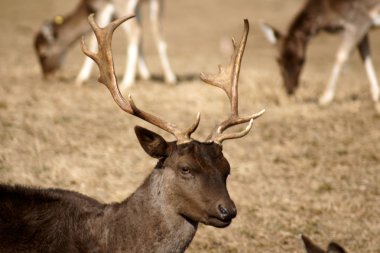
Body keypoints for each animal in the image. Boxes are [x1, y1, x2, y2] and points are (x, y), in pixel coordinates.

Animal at [33, 0, 176, 89]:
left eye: (43, 54)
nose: (46, 76)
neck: (87, 5)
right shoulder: (136, 8)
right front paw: (146, 74)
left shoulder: (104, 8)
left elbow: (93, 40)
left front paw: (81, 78)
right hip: (158, 4)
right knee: (157, 32)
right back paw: (170, 78)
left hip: (122, 4)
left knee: (135, 31)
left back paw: (127, 81)